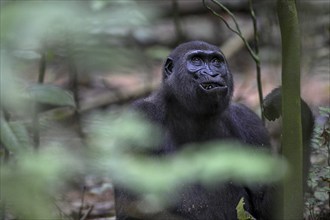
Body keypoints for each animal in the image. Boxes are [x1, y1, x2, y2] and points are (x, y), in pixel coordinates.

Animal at [114, 41, 314, 220]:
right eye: (196, 60)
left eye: (216, 61)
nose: (213, 73)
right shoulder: (141, 117)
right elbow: (132, 208)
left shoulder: (249, 123)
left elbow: (271, 208)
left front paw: (301, 118)